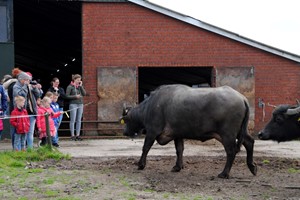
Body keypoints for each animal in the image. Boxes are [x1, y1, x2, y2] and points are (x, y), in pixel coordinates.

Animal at [120, 84, 256, 178]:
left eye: (127, 121)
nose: (125, 132)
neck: (150, 106)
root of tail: (242, 98)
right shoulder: (177, 134)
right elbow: (179, 150)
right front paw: (177, 166)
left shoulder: (152, 131)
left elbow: (146, 147)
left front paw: (140, 164)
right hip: (240, 132)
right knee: (249, 142)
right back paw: (252, 167)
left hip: (228, 134)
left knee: (231, 151)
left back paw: (224, 173)